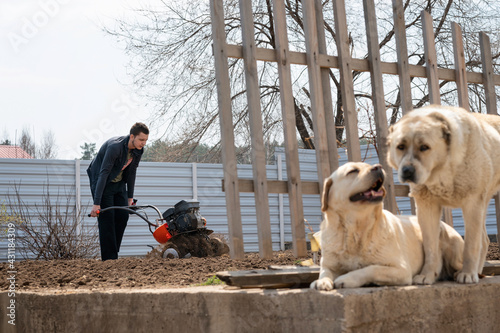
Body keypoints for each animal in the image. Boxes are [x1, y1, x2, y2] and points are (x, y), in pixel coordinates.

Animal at [310, 162, 462, 290]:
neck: (357, 230)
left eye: (368, 165)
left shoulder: (401, 269)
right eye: (353, 171)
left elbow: (372, 268)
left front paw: (347, 279)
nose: (378, 166)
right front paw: (322, 281)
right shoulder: (328, 265)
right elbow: (324, 272)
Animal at [390, 104, 500, 282]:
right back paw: (478, 272)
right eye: (400, 147)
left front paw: (467, 274)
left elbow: (470, 245)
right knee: (484, 240)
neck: (443, 171)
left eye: (424, 147)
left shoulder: (472, 204)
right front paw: (427, 275)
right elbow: (430, 247)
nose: (407, 171)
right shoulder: (427, 207)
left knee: (480, 241)